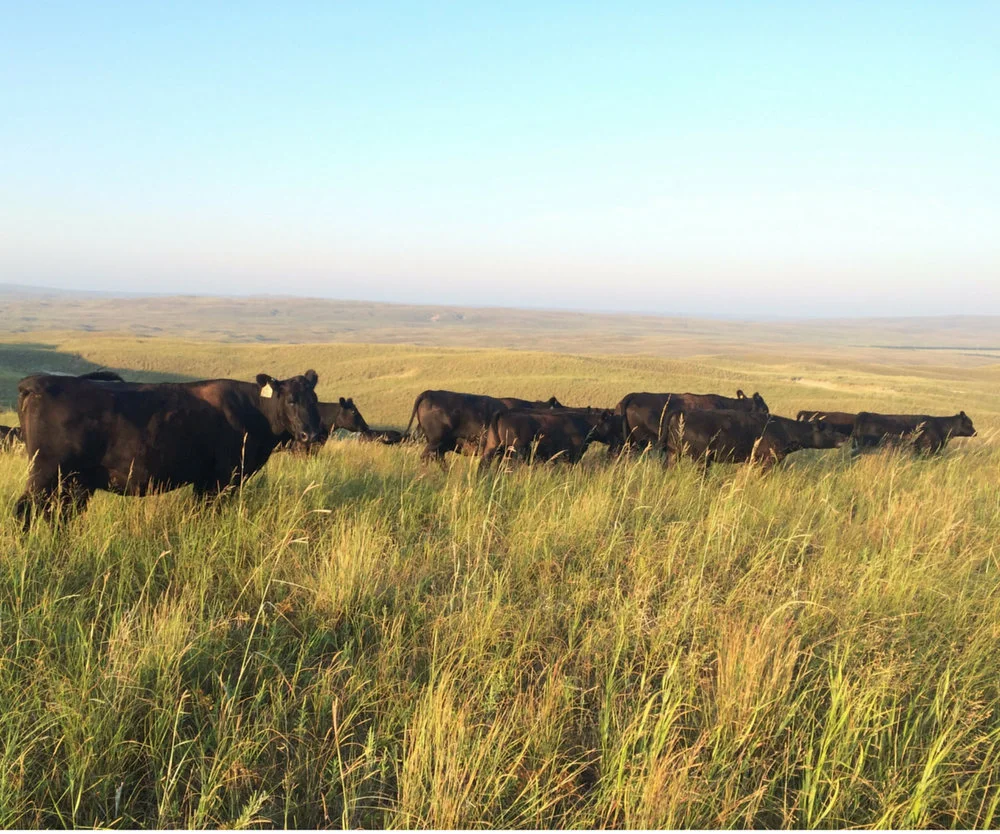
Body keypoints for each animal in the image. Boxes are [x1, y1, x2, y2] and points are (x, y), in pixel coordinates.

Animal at [14, 370, 322, 526]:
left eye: (314, 399)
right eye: (291, 400)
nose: (311, 434)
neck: (252, 410)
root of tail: (37, 381)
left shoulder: (205, 481)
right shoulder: (222, 478)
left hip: (72, 481)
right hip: (44, 473)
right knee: (24, 510)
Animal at [481, 407, 621, 467]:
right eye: (611, 424)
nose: (618, 440)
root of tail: (503, 413)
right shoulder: (573, 456)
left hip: (491, 450)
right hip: (515, 454)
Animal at [660, 409, 846, 471]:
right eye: (830, 430)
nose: (844, 437)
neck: (785, 430)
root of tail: (681, 413)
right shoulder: (767, 461)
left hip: (673, 453)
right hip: (701, 459)